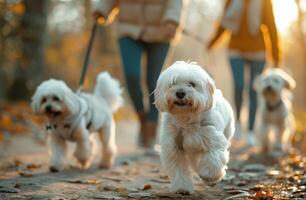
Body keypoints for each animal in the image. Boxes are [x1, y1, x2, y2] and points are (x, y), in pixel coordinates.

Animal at [155, 61, 234, 194]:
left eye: (191, 84)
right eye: (173, 83)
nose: (180, 93)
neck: (186, 117)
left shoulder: (212, 139)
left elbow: (213, 158)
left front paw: (210, 176)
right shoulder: (174, 147)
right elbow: (179, 169)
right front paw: (182, 187)